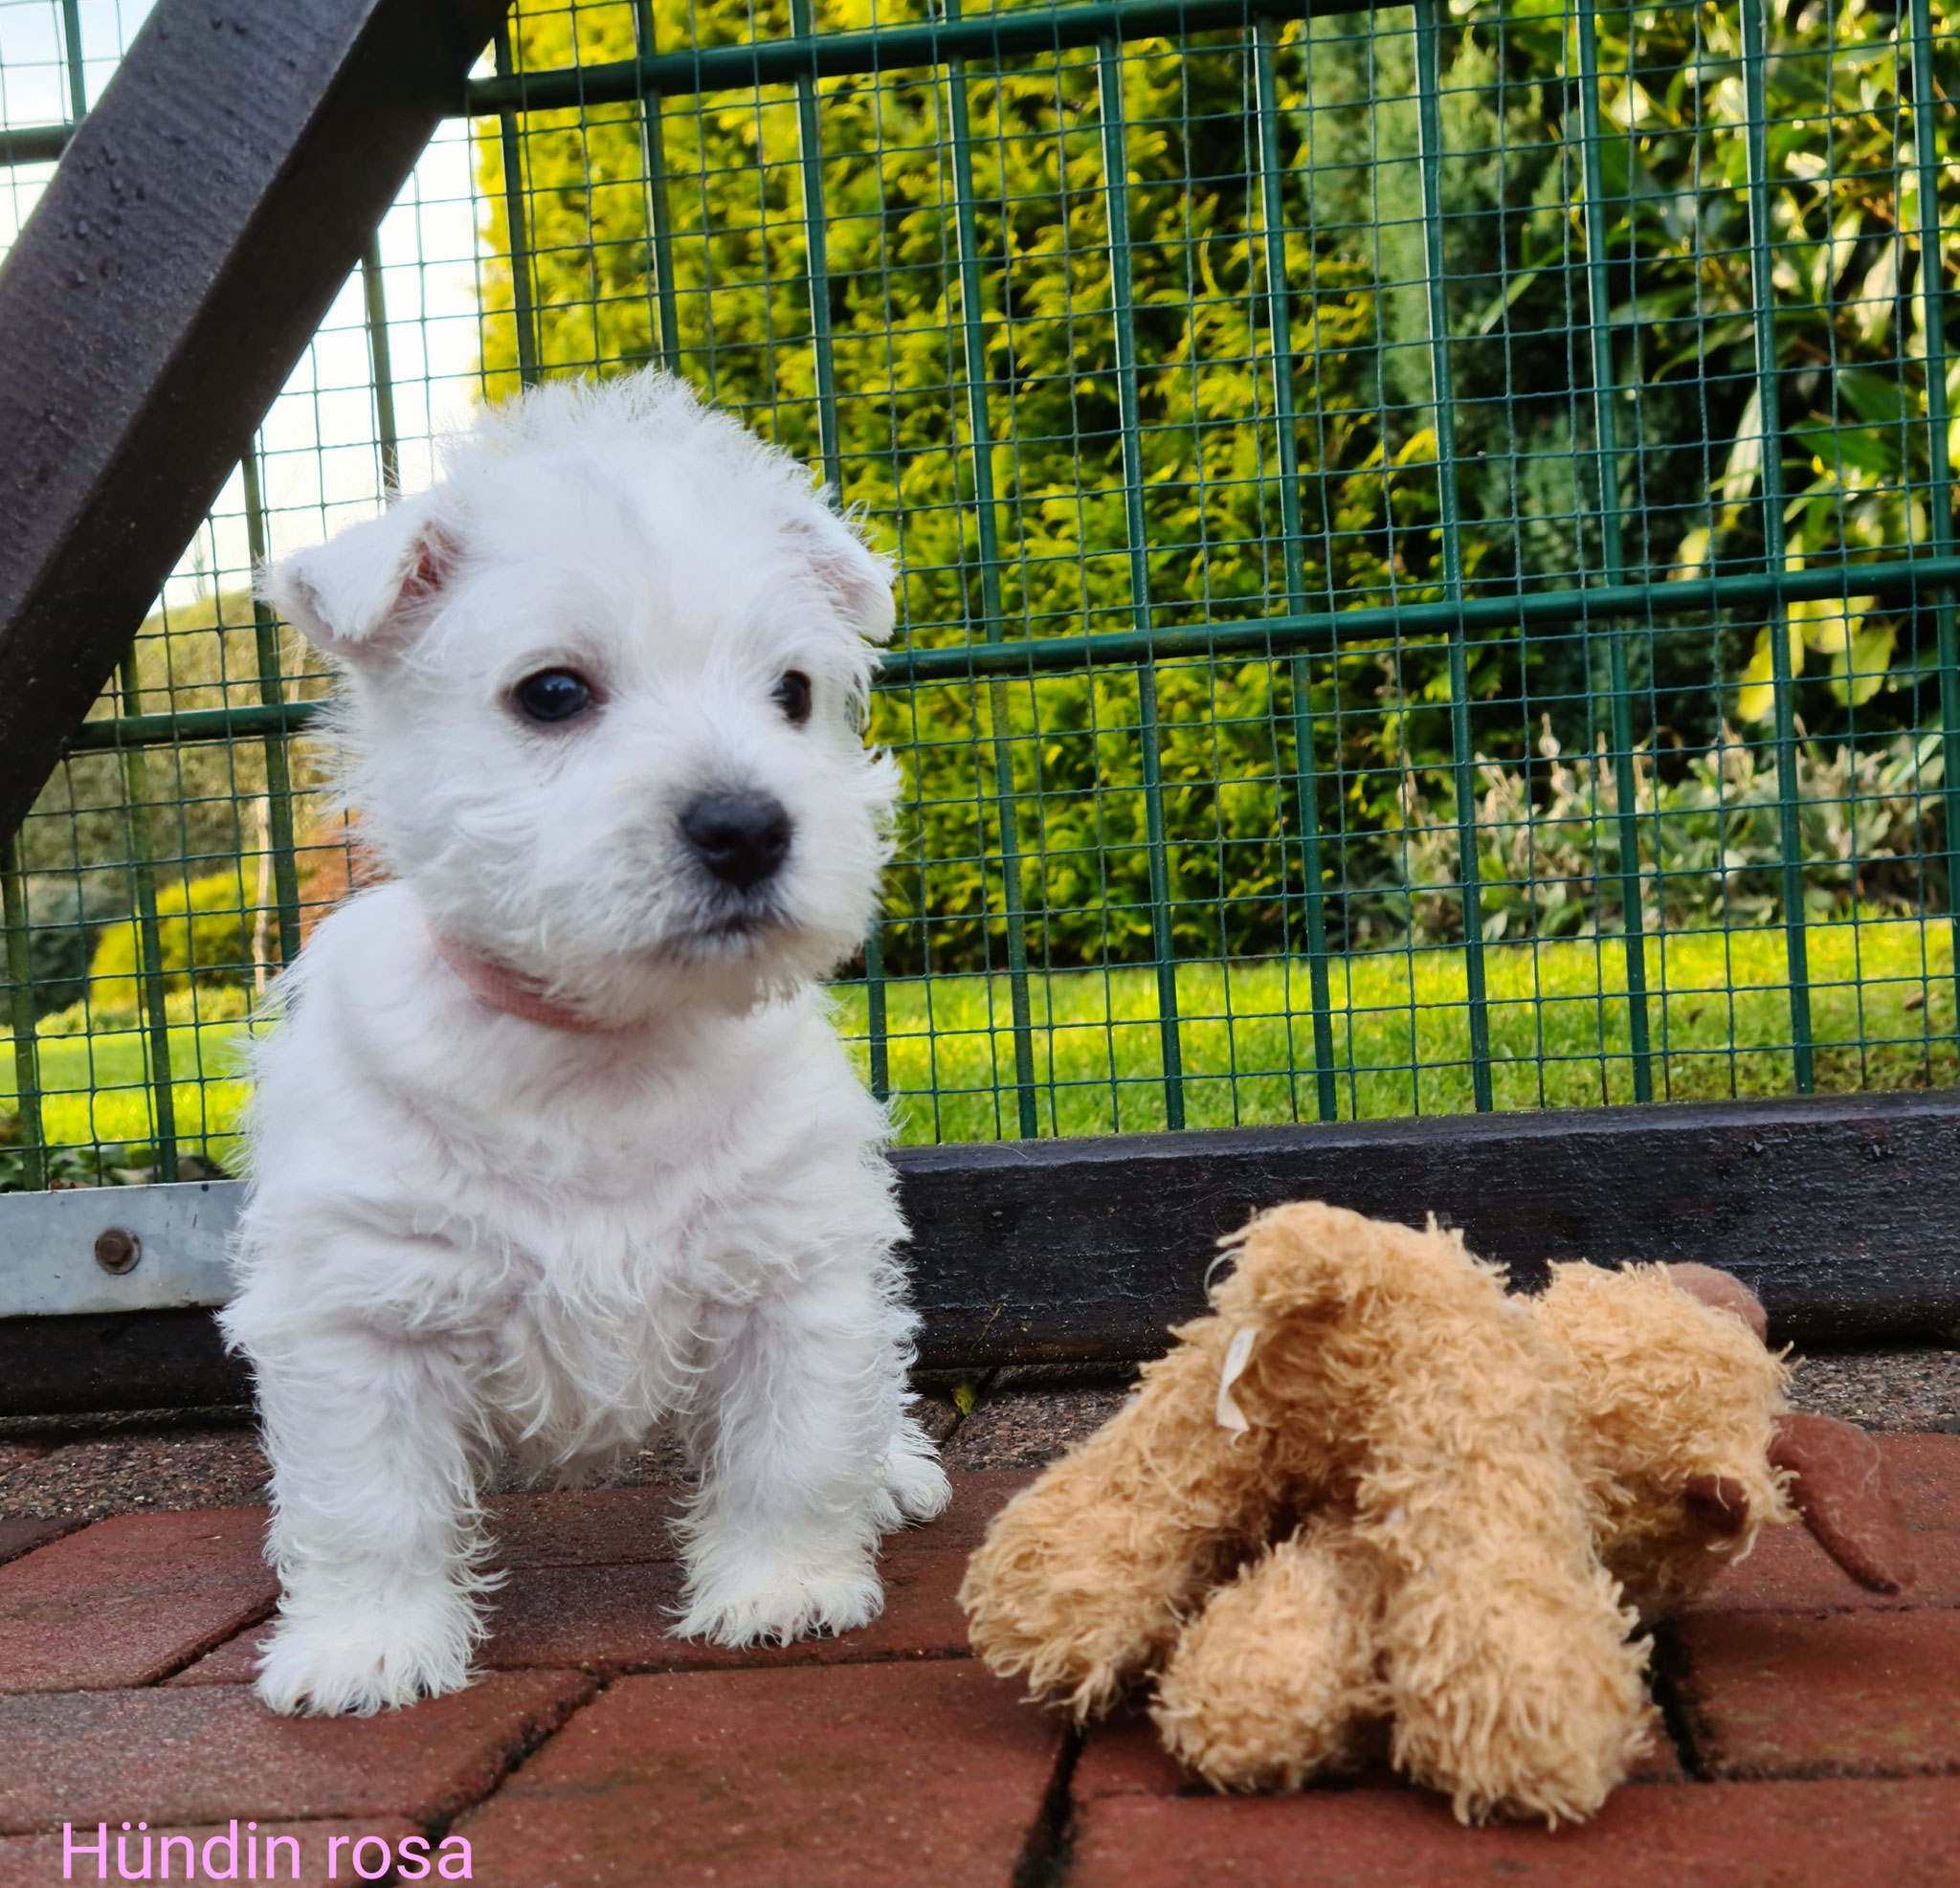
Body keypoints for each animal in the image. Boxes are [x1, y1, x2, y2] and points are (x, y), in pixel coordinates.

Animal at [220, 368, 948, 1709]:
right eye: (551, 693)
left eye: (792, 692)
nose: (745, 826)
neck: (603, 1048)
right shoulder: (363, 1308)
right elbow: (369, 1502)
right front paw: (364, 1650)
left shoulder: (793, 1266)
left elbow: (794, 1444)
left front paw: (781, 1589)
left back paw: (896, 1467)